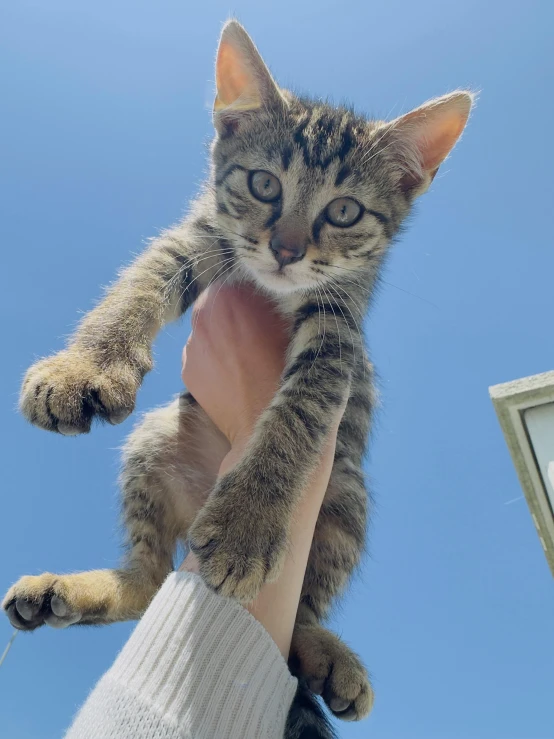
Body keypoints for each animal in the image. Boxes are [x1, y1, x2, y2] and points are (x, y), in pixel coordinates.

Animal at [2, 20, 472, 736]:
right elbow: (140, 281)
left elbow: (298, 416)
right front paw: (85, 363)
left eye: (343, 212)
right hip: (154, 439)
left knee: (298, 609)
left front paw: (248, 524)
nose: (285, 248)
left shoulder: (339, 333)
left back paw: (328, 654)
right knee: (149, 583)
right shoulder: (199, 236)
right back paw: (67, 590)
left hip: (347, 494)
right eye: (263, 184)